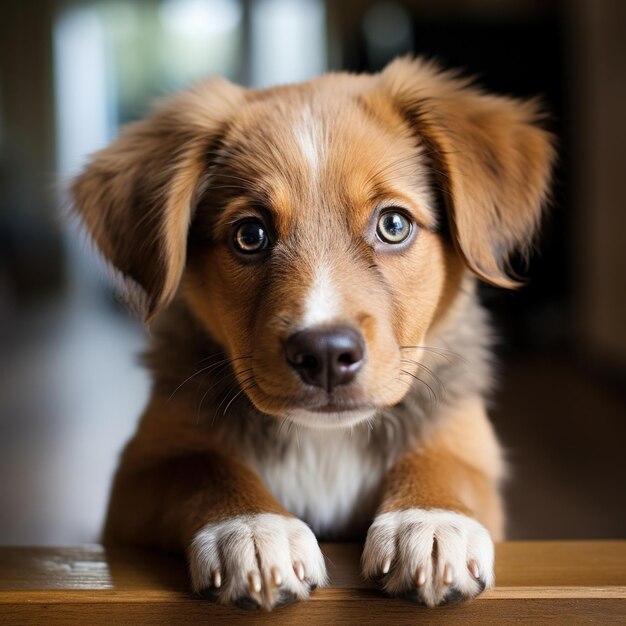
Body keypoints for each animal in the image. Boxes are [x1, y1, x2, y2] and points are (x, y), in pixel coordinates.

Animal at [70, 56, 552, 608]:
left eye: (393, 225)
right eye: (250, 235)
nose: (324, 354)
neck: (325, 441)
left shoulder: (465, 437)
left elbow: (444, 463)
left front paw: (430, 521)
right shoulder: (136, 476)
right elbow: (203, 466)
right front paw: (254, 529)